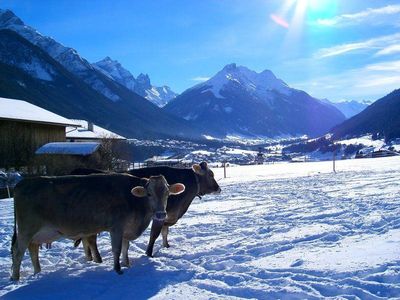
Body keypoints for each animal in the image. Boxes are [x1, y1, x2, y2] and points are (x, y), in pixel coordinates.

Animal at [9, 172, 184, 280]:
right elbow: (117, 249)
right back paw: (15, 278)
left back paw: (37, 272)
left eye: (167, 193)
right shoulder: (116, 227)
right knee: (18, 252)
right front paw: (118, 269)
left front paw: (127, 264)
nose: (161, 214)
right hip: (26, 229)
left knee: (33, 249)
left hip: (37, 233)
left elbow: (126, 248)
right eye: (149, 194)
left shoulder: (127, 228)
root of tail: (23, 183)